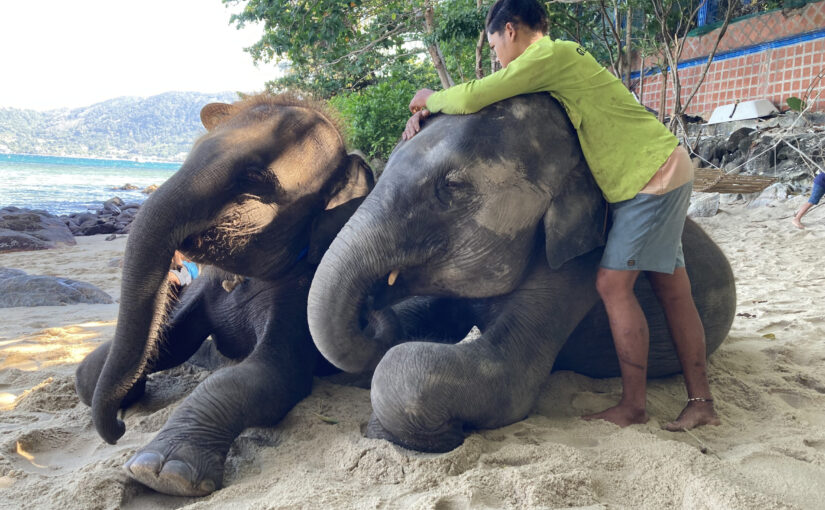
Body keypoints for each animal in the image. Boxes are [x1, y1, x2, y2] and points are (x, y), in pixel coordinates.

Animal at [74, 94, 375, 496]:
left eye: (254, 178)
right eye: (193, 151)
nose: (119, 429)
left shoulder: (306, 294)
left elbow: (275, 374)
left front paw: (162, 473)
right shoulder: (206, 287)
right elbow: (171, 343)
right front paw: (113, 387)